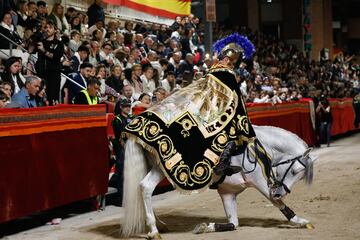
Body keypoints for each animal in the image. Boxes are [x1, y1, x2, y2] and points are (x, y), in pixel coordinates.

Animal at [120, 125, 316, 238]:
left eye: (300, 176)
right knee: (146, 188)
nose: (279, 192)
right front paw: (299, 221)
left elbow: (233, 223)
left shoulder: (227, 192)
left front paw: (204, 227)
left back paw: (157, 226)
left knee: (143, 187)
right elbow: (276, 203)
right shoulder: (259, 180)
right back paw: (153, 230)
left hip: (157, 169)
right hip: (163, 169)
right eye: (295, 171)